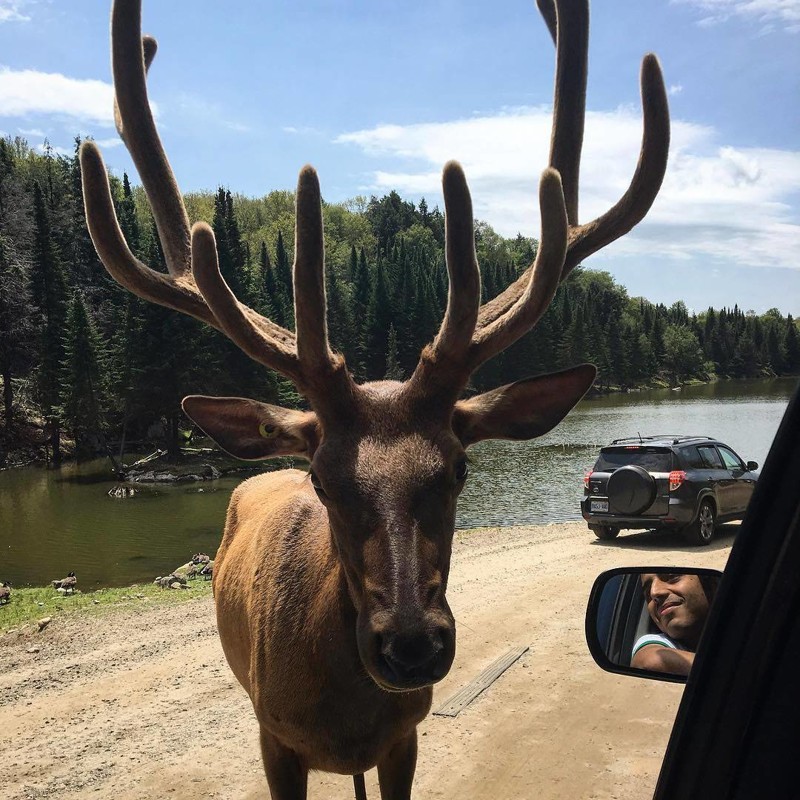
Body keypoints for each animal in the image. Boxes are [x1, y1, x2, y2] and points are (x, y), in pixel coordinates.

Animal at [79, 0, 668, 792]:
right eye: (323, 480)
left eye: (459, 469)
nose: (411, 646)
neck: (346, 715)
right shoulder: (272, 736)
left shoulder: (404, 737)